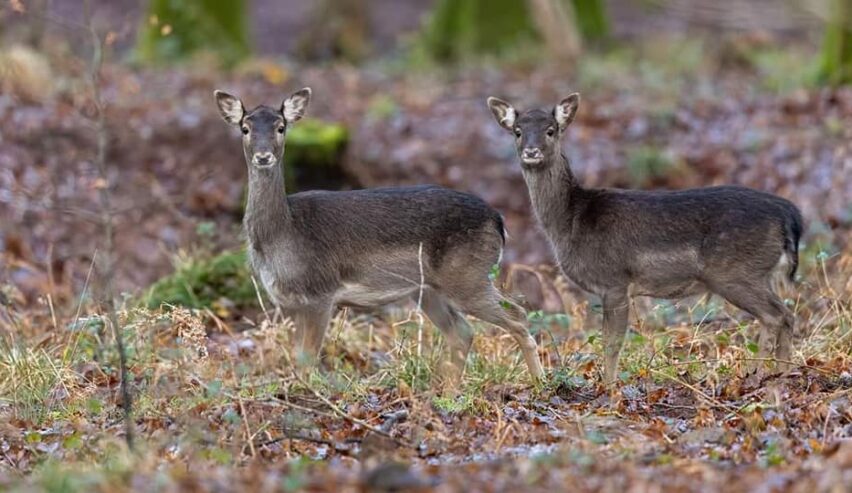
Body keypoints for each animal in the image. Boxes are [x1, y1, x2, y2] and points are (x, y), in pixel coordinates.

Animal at [214, 87, 545, 383]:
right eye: (245, 128)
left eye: (281, 127)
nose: (263, 156)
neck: (283, 236)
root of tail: (498, 221)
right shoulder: (290, 304)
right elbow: (298, 358)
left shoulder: (321, 292)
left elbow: (307, 360)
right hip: (429, 290)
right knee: (463, 332)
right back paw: (449, 393)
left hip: (467, 276)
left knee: (517, 314)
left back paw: (539, 383)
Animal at [487, 93, 803, 385]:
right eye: (517, 131)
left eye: (551, 129)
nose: (531, 151)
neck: (570, 222)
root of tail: (790, 214)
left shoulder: (615, 280)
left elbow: (612, 342)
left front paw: (609, 388)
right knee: (785, 315)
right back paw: (782, 371)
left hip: (735, 272)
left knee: (775, 315)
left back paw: (762, 373)